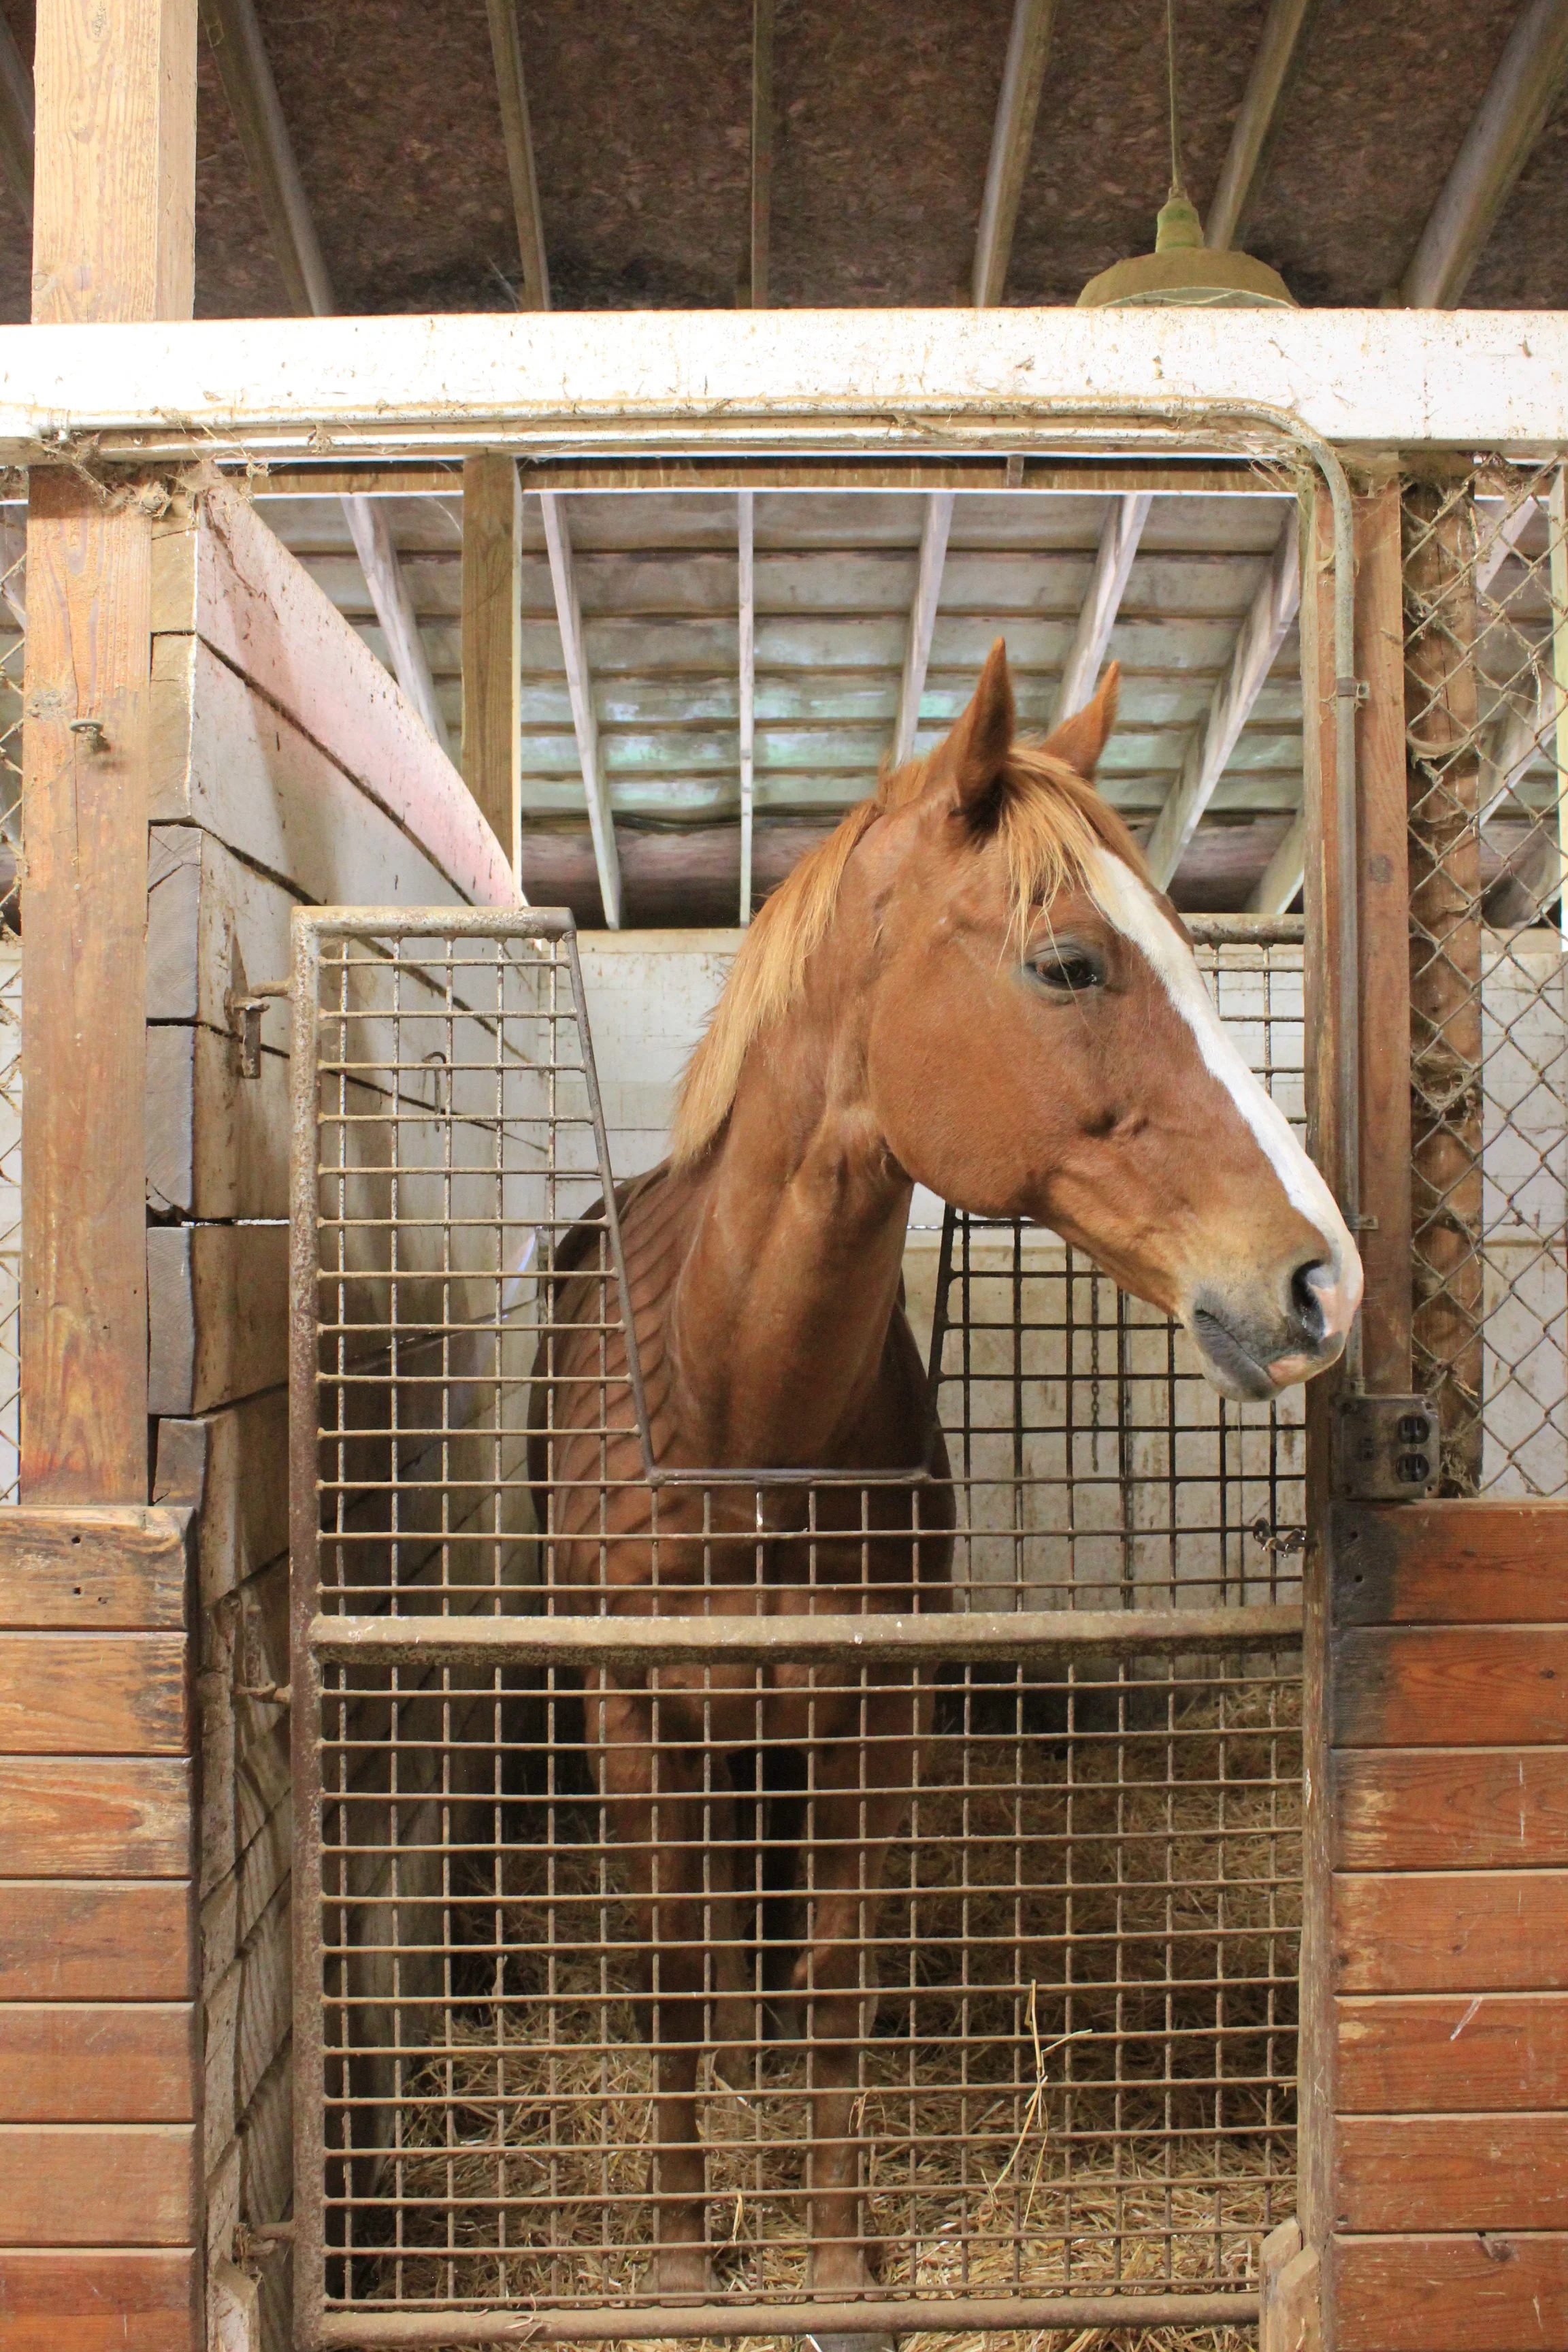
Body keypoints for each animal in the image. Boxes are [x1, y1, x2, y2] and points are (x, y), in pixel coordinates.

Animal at [529, 641, 1360, 2324]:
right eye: (1070, 966)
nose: (1324, 1285)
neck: (740, 1415)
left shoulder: (872, 1709)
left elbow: (832, 1978)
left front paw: (836, 2258)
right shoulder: (635, 1713)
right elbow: (670, 1976)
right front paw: (683, 2258)